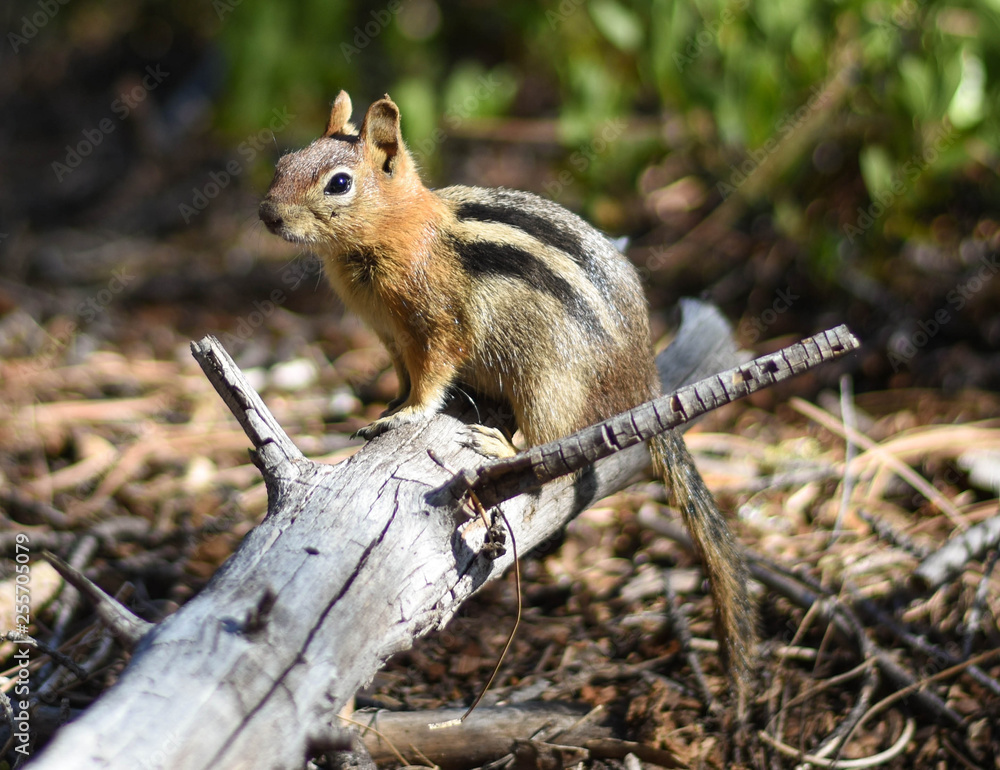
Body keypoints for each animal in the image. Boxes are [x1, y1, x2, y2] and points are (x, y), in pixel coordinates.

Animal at [259, 91, 756, 701]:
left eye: (339, 184)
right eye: (283, 162)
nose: (268, 214)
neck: (399, 230)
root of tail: (644, 380)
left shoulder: (434, 327)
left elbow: (432, 378)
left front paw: (405, 417)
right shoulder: (391, 339)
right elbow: (402, 378)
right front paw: (389, 407)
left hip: (550, 385)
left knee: (557, 449)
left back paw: (501, 446)